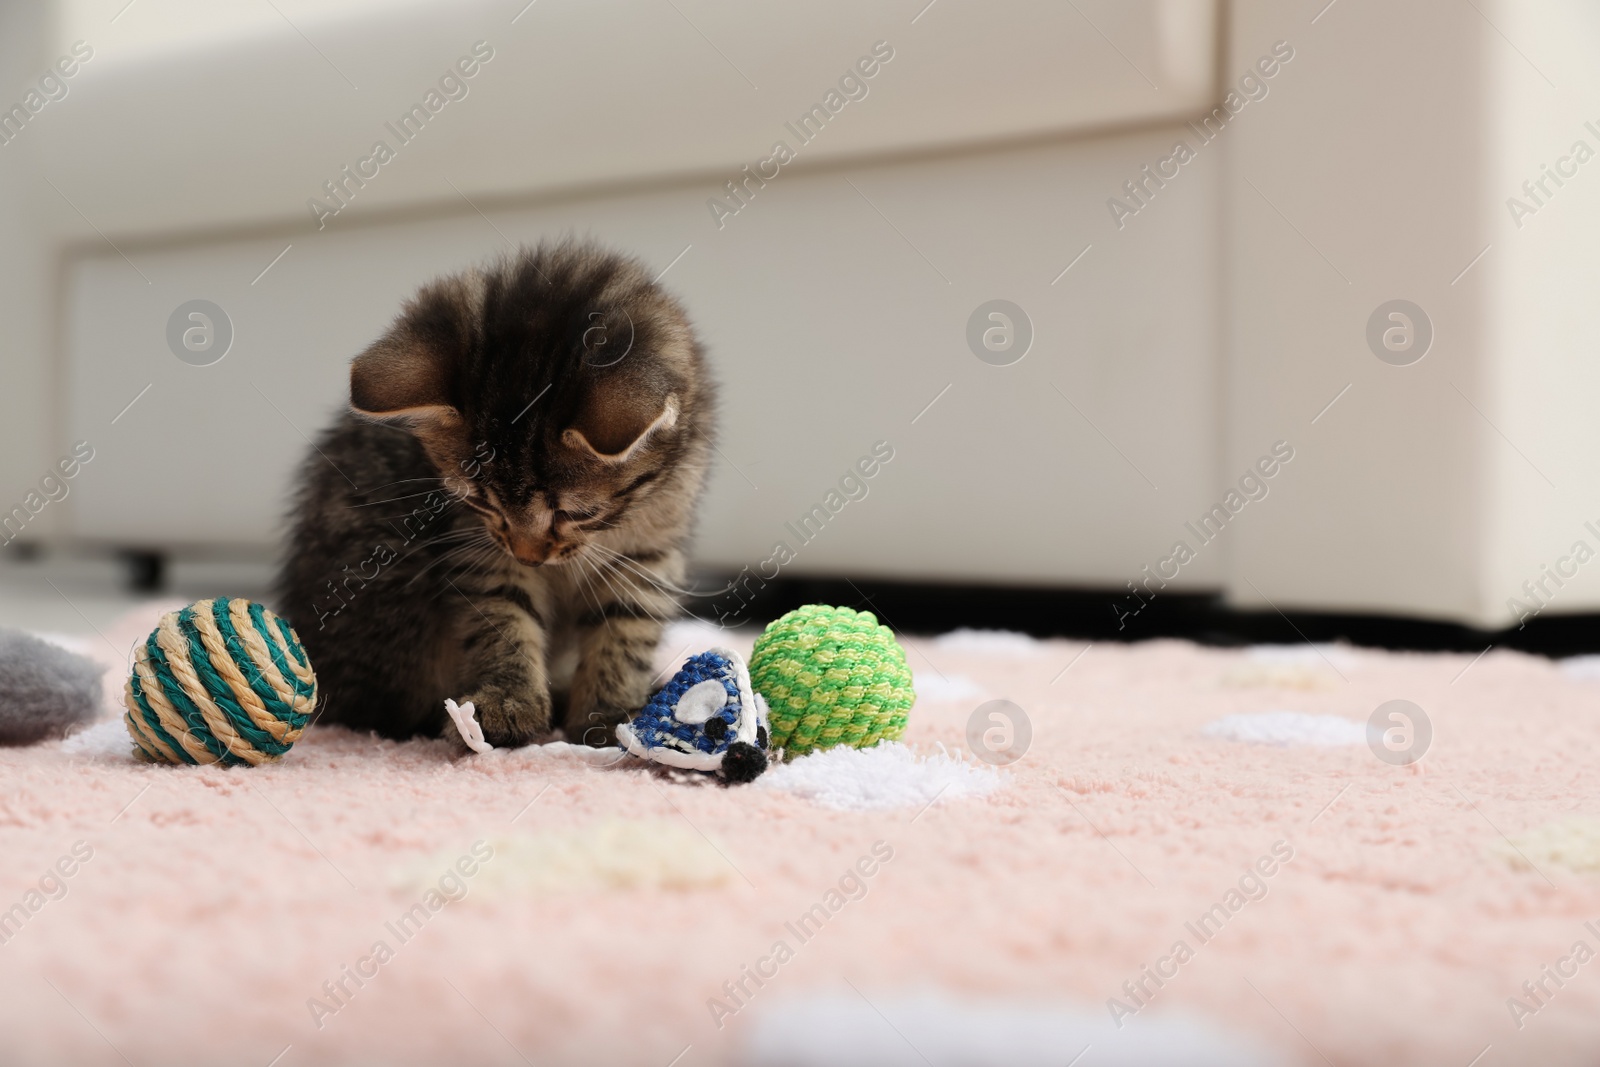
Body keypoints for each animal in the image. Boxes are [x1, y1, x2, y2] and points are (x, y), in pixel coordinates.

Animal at [275, 241, 713, 748]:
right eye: (482, 502)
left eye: (576, 513)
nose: (529, 557)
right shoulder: (480, 548)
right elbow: (503, 618)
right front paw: (509, 702)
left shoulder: (648, 552)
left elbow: (625, 628)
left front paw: (612, 713)